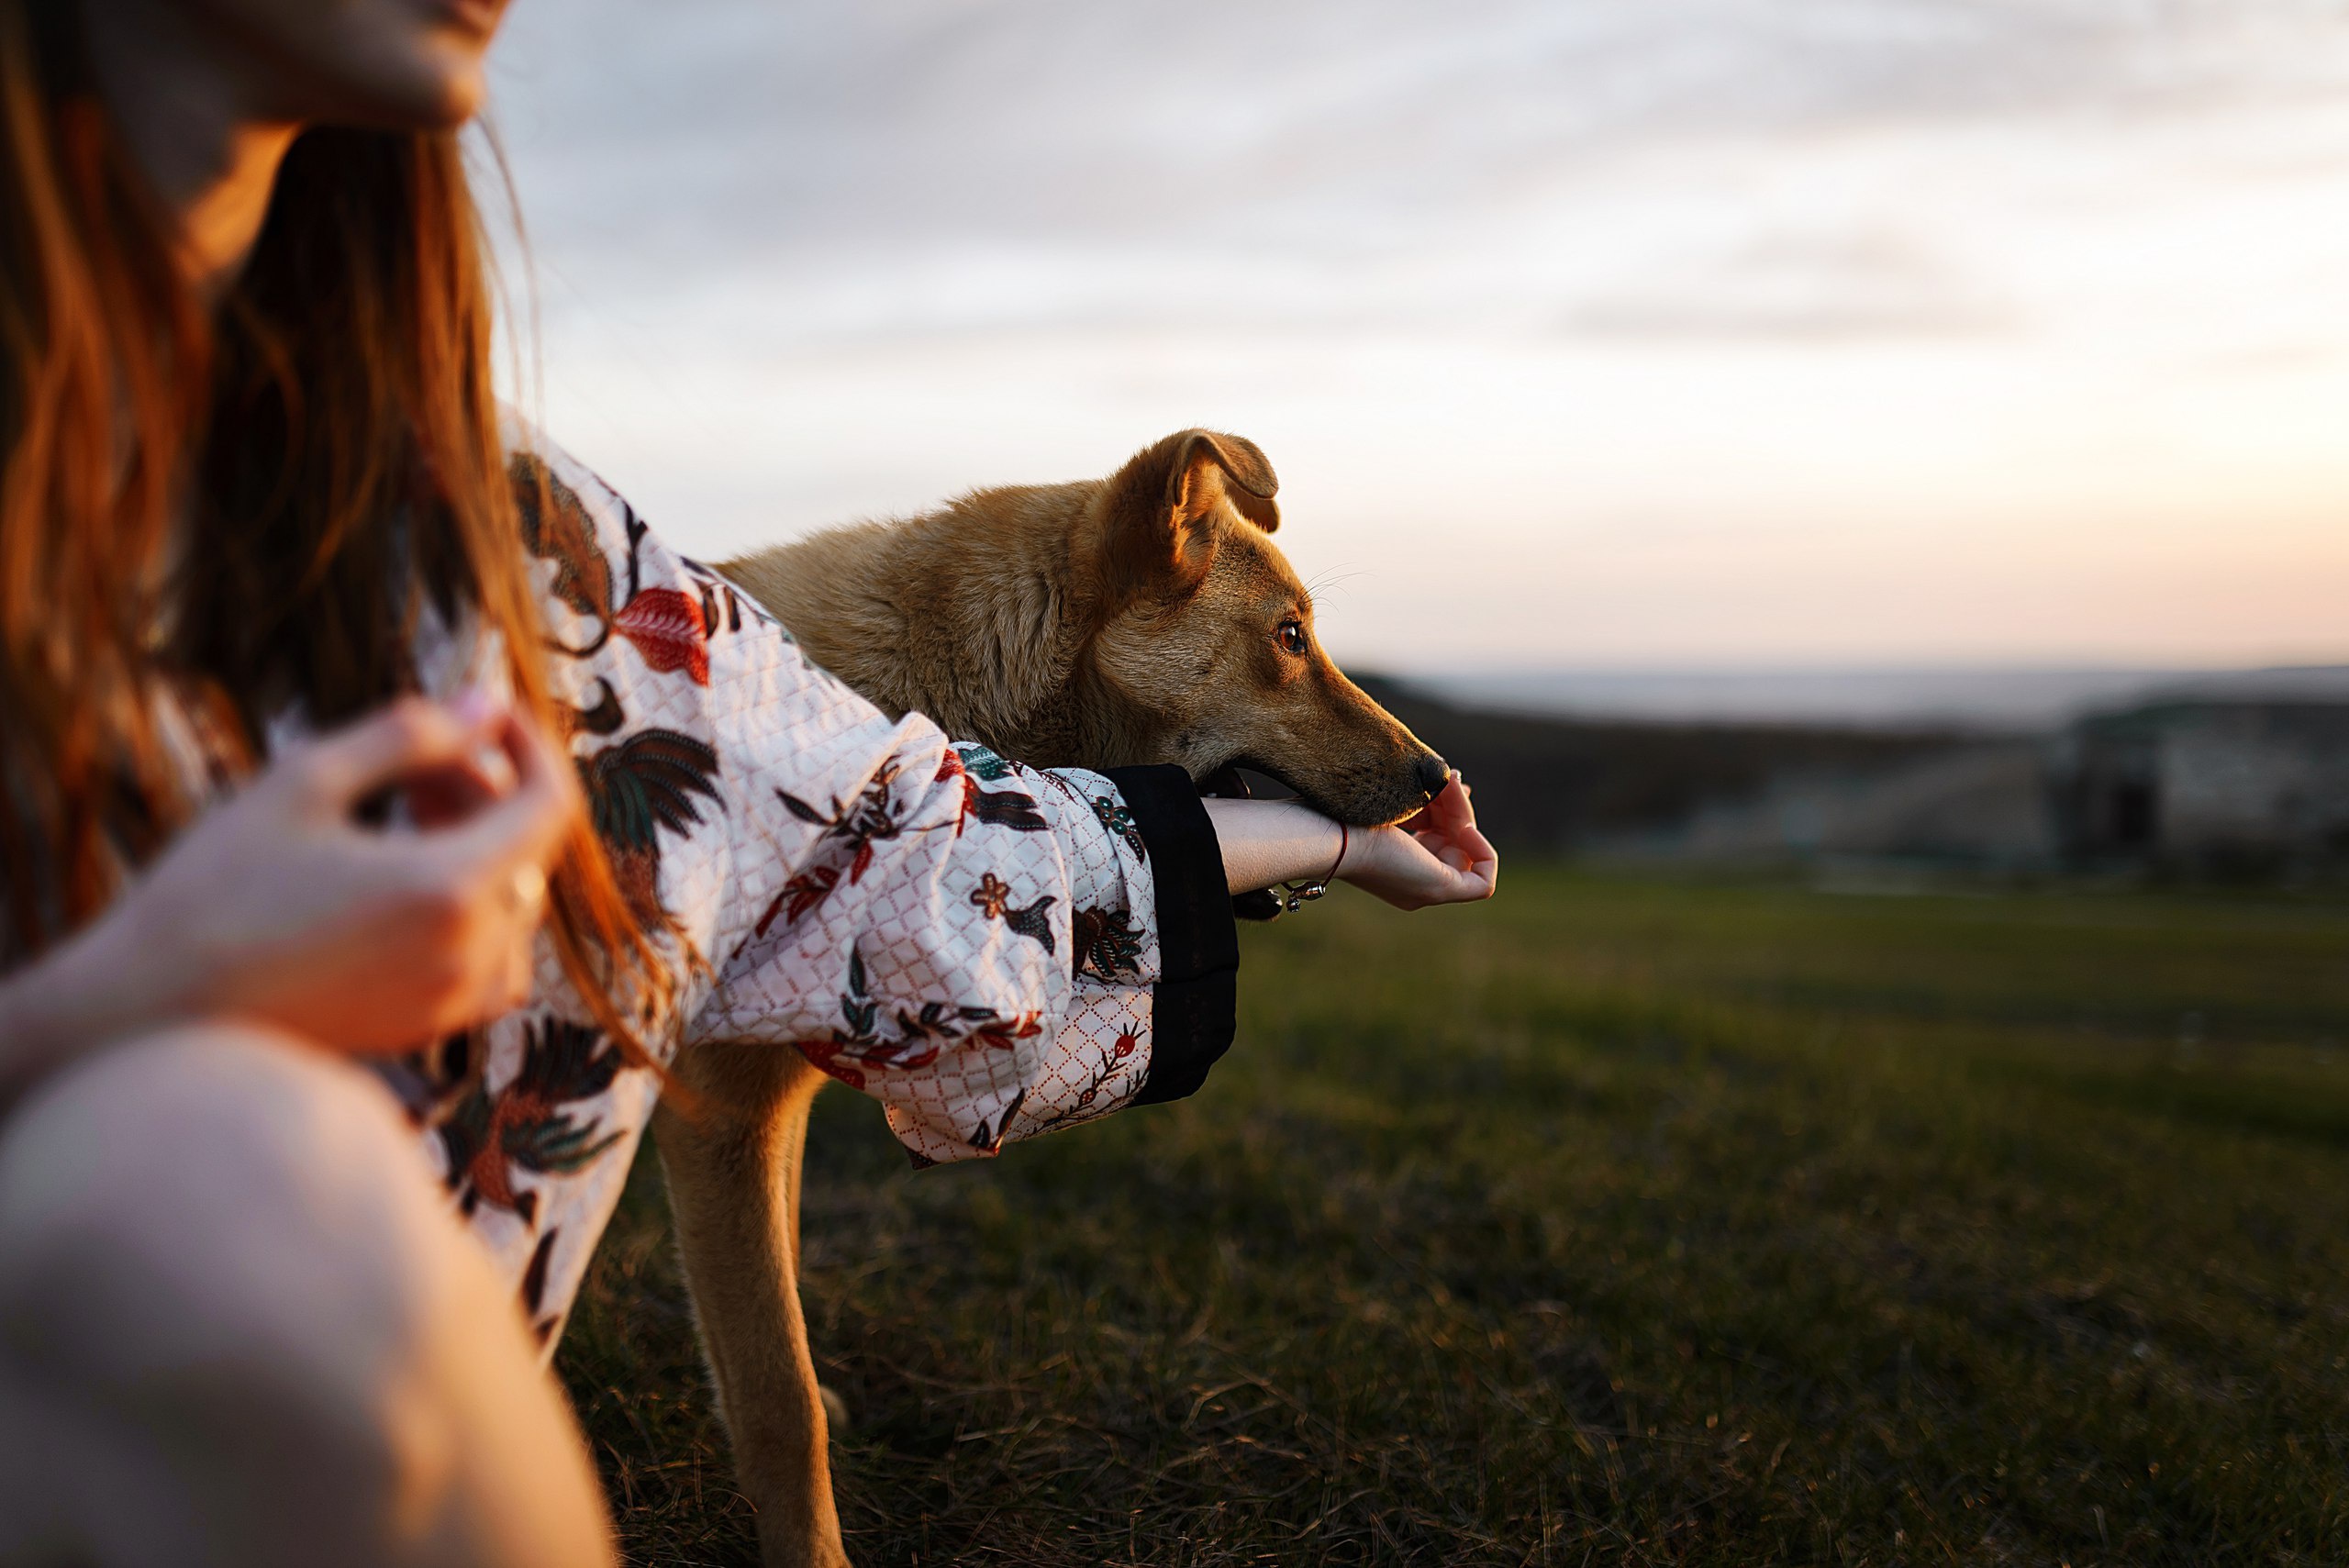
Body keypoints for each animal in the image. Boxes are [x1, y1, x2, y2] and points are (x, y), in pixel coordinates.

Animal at [652, 431, 1437, 1568]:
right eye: (1288, 636)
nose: (1439, 777)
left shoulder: (762, 1117)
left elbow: (773, 1324)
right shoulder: (724, 1119)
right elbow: (776, 1395)